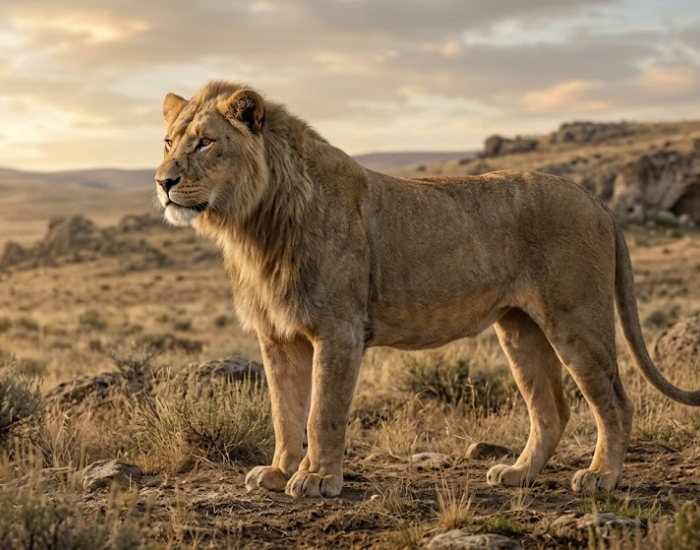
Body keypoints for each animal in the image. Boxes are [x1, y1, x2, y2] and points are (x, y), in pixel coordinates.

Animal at [154, 80, 700, 498]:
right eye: (167, 141)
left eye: (205, 142)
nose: (163, 182)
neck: (253, 226)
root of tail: (596, 199)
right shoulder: (277, 335)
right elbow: (284, 412)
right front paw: (279, 472)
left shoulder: (338, 329)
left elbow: (322, 412)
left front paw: (317, 480)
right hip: (518, 328)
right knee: (552, 409)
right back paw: (518, 474)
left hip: (576, 320)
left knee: (614, 400)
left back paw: (600, 477)